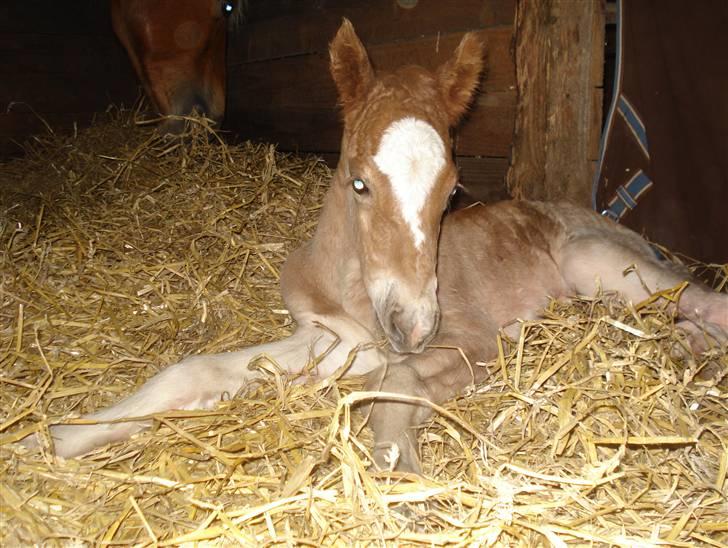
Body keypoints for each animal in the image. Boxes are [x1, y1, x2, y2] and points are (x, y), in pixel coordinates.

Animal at [29, 21, 728, 474]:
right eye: (358, 181)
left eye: (452, 192)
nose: (412, 325)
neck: (352, 294)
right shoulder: (328, 337)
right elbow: (199, 370)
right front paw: (61, 437)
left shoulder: (471, 338)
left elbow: (397, 378)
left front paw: (399, 458)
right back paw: (686, 350)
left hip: (597, 261)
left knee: (704, 298)